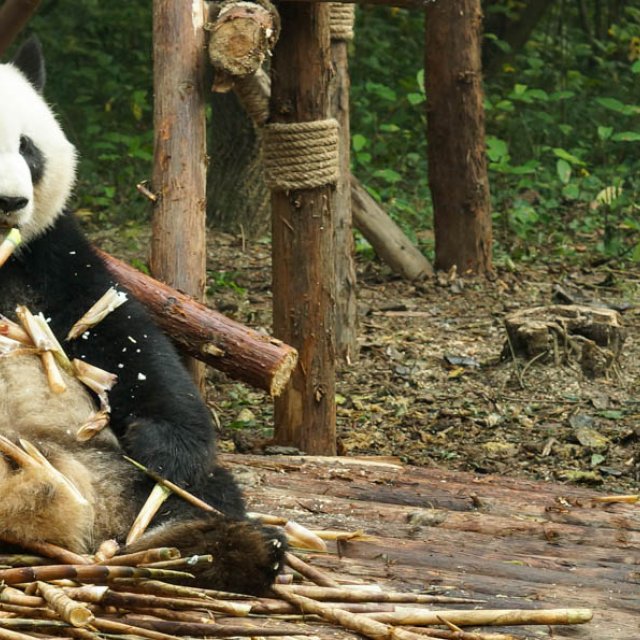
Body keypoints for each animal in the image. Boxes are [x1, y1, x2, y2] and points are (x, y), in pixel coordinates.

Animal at [0, 36, 284, 596]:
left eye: (27, 147)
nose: (10, 202)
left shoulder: (47, 257)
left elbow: (120, 337)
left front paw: (158, 441)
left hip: (120, 471)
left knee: (192, 491)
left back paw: (223, 549)